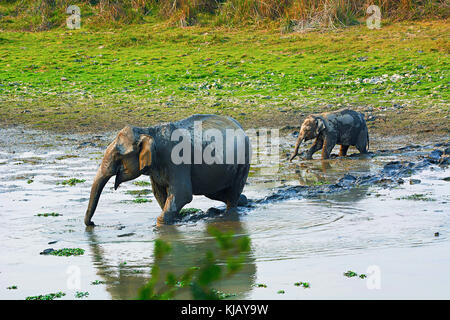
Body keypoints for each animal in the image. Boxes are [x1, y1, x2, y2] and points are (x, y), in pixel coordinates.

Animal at [84, 114, 251, 226]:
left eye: (118, 155)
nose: (92, 224)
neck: (149, 131)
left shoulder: (177, 160)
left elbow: (183, 194)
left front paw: (161, 225)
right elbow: (159, 194)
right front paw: (177, 219)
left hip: (243, 162)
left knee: (232, 193)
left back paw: (229, 213)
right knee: (215, 192)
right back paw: (240, 201)